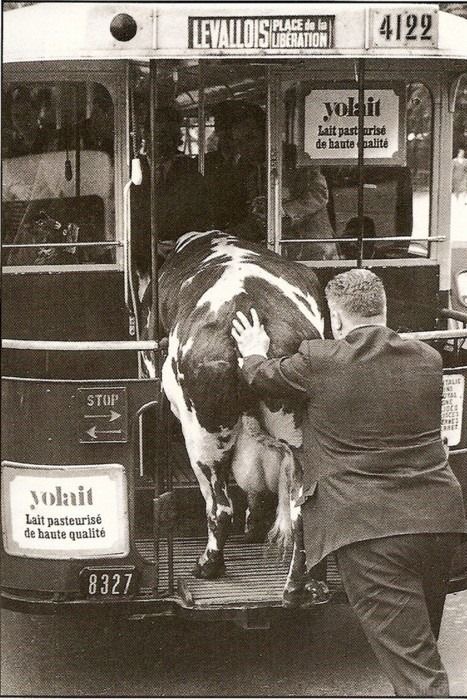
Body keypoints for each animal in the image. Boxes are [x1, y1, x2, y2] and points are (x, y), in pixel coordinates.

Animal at [141, 230, 325, 598]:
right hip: (299, 439)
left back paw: (208, 566)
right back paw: (296, 587)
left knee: (219, 505)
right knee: (300, 510)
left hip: (204, 434)